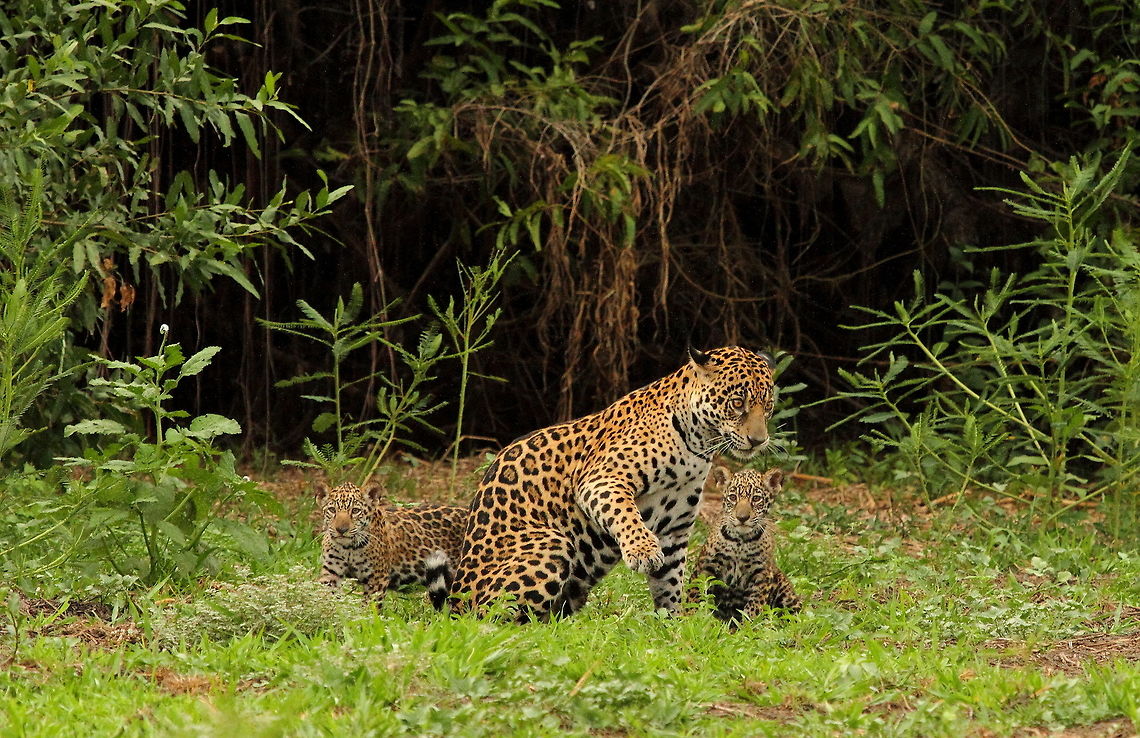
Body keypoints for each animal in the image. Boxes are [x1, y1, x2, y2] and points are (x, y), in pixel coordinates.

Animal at [317, 482, 468, 609]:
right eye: (332, 510)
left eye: (355, 511)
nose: (341, 530)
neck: (348, 549)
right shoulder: (331, 573)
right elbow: (326, 598)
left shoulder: (377, 578)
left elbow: (370, 607)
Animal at [449, 345, 778, 621]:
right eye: (737, 403)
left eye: (768, 407)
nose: (758, 440)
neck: (699, 446)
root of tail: (454, 598)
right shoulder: (602, 478)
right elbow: (625, 513)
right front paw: (643, 551)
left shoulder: (676, 527)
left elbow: (671, 581)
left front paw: (672, 625)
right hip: (549, 543)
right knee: (492, 617)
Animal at [687, 466, 800, 623]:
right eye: (733, 497)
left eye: (756, 499)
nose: (742, 517)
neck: (740, 542)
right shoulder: (705, 566)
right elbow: (694, 593)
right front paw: (689, 616)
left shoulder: (762, 575)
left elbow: (755, 604)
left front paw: (747, 624)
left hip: (784, 588)